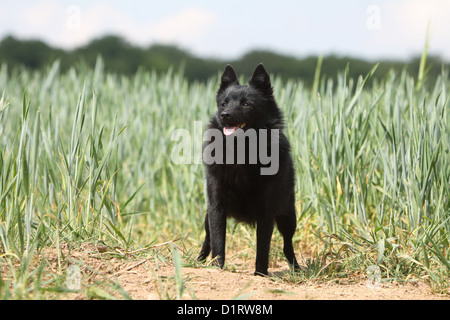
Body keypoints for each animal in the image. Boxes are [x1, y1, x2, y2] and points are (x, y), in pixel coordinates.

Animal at [199, 64, 300, 276]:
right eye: (223, 104)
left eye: (246, 104)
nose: (225, 115)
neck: (241, 152)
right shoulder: (216, 207)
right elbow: (218, 242)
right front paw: (217, 269)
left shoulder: (266, 211)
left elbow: (263, 247)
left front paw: (260, 275)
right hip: (207, 217)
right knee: (207, 239)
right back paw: (197, 261)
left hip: (288, 217)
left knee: (288, 244)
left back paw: (296, 268)